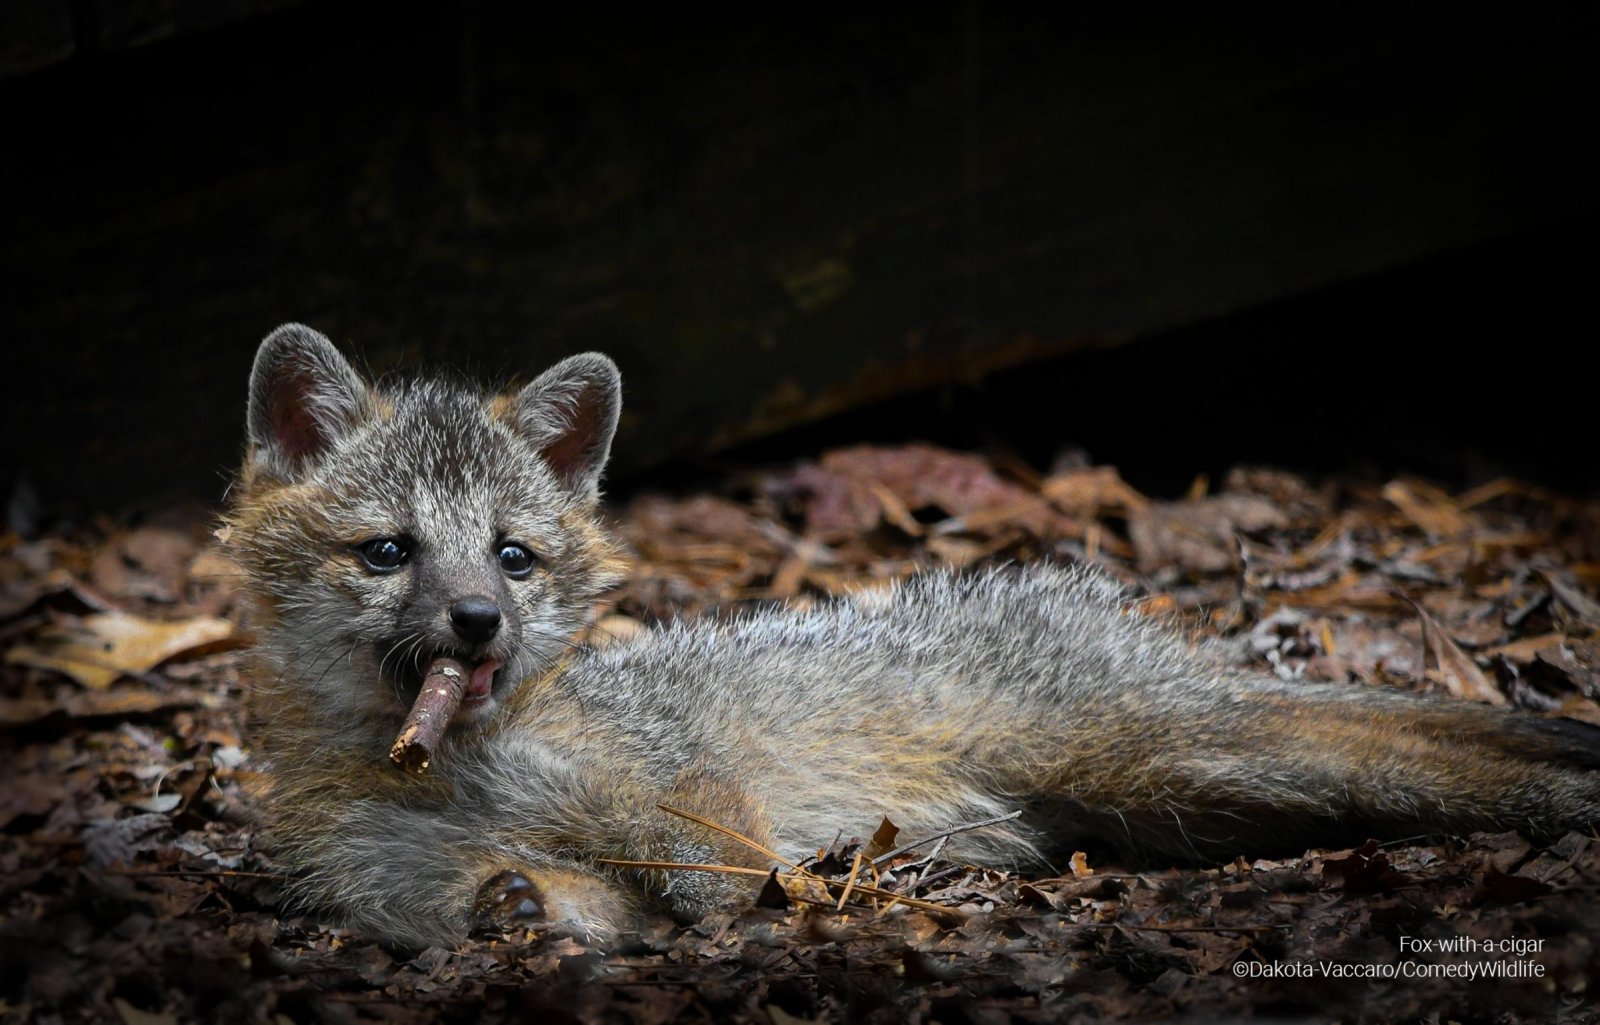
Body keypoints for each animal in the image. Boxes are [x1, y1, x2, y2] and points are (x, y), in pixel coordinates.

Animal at [225, 323, 1600, 946]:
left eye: (512, 555)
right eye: (390, 551)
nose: (478, 618)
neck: (461, 767)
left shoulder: (684, 792)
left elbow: (718, 867)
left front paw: (775, 908)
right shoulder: (422, 886)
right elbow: (534, 898)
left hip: (1180, 758)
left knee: (1428, 756)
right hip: (1175, 797)